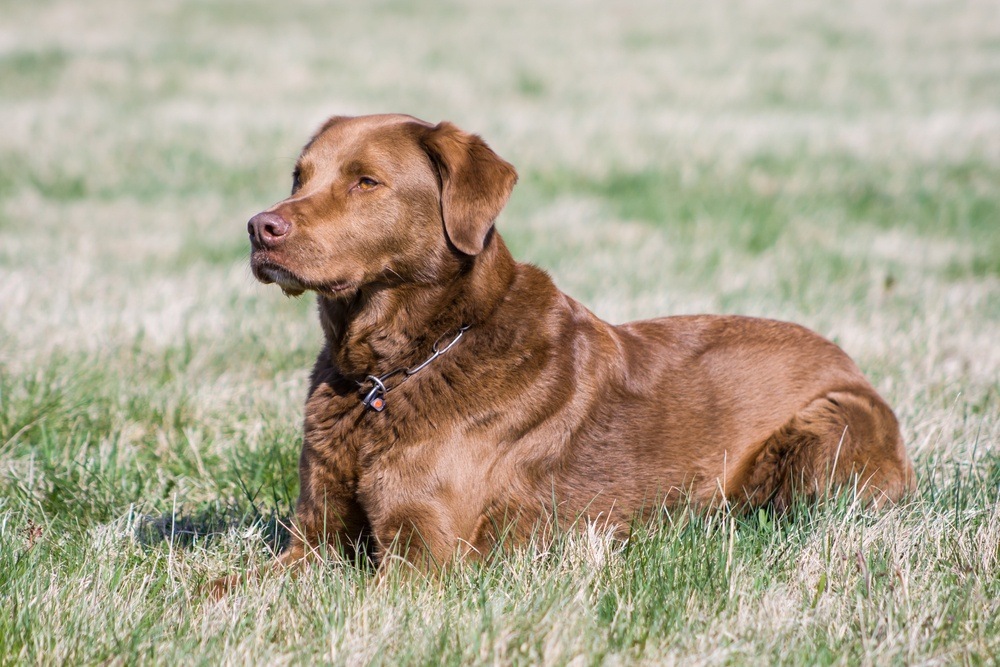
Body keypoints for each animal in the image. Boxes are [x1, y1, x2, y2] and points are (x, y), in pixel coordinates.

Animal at [244, 115, 916, 576]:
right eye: (299, 176)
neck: (395, 367)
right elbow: (238, 584)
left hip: (824, 433)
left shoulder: (424, 555)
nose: (259, 227)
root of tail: (849, 359)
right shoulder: (314, 539)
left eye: (366, 181)